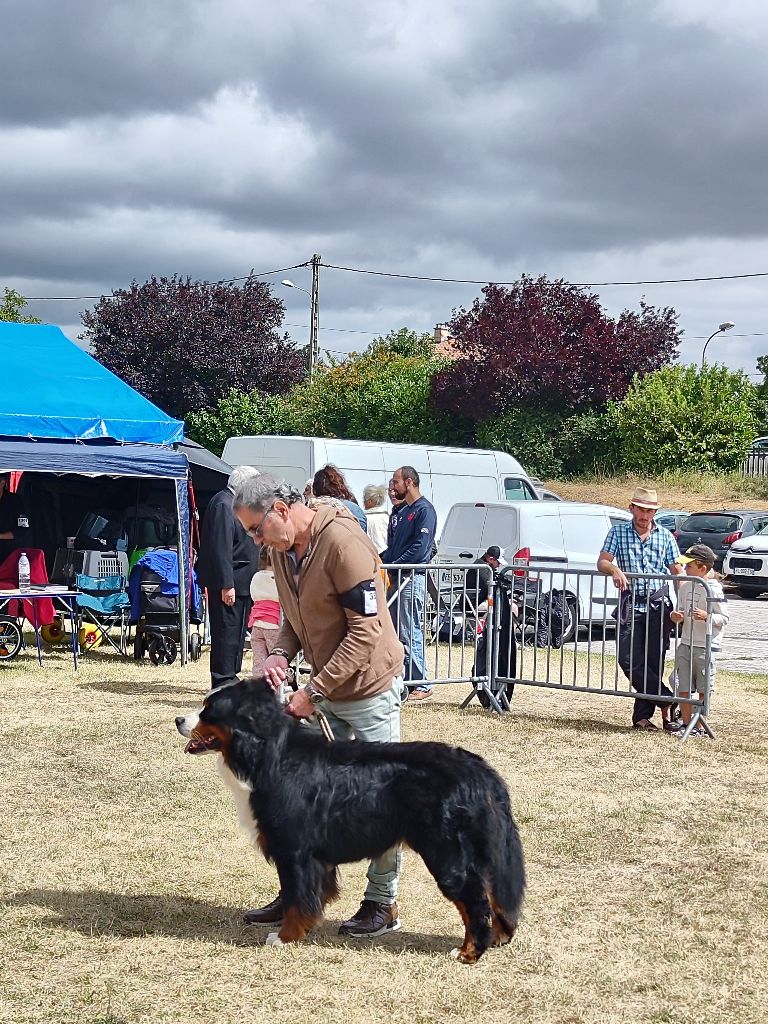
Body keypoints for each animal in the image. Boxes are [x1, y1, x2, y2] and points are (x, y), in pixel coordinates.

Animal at [175, 679, 528, 958]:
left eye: (208, 710)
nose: (178, 719)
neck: (265, 752)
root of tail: (481, 772)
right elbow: (305, 896)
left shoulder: (294, 850)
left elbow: (297, 898)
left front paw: (285, 937)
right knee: (496, 896)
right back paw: (497, 939)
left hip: (448, 854)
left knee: (475, 901)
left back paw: (470, 951)